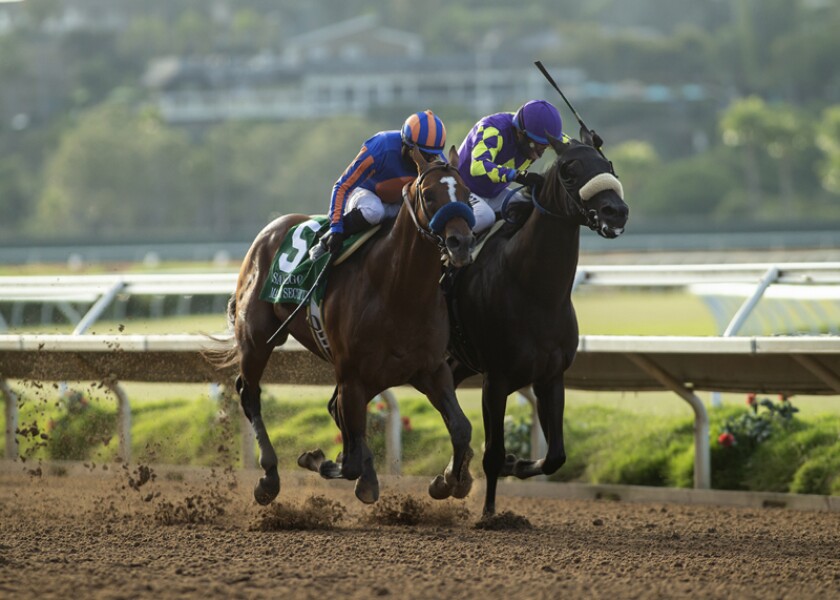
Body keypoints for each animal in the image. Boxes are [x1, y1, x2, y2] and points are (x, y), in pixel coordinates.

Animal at [217, 145, 476, 506]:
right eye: (428, 194)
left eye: (466, 193)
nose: (461, 243)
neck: (399, 290)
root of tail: (269, 230)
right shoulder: (352, 375)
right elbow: (349, 459)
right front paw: (319, 459)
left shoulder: (431, 369)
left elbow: (461, 428)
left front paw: (448, 481)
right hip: (257, 339)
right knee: (249, 393)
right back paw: (269, 476)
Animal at [450, 130, 628, 516]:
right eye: (568, 171)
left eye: (607, 164)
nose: (616, 211)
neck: (534, 292)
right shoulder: (496, 379)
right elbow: (492, 452)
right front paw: (489, 514)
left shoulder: (550, 376)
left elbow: (556, 456)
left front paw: (516, 464)